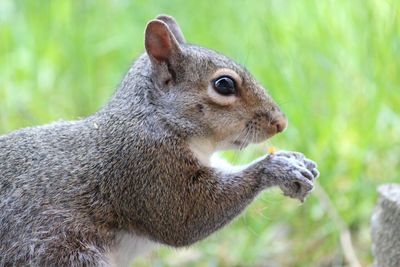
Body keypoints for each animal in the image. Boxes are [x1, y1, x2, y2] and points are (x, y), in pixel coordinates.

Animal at [0, 15, 318, 267]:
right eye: (224, 84)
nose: (280, 123)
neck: (158, 119)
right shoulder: (147, 169)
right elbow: (186, 218)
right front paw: (276, 168)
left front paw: (295, 160)